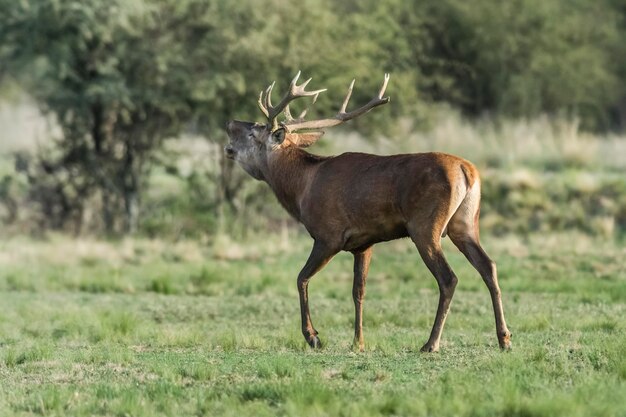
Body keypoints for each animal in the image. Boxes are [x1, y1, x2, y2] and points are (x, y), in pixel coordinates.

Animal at [222, 72, 510, 352]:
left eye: (254, 132)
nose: (230, 123)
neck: (301, 189)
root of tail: (467, 170)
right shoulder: (364, 243)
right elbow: (358, 291)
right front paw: (358, 342)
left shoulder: (328, 235)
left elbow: (301, 278)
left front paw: (313, 337)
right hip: (465, 223)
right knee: (489, 266)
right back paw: (504, 338)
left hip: (425, 226)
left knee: (448, 278)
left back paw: (431, 344)